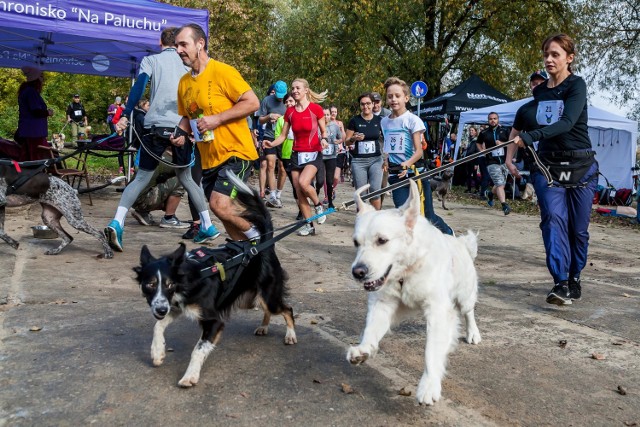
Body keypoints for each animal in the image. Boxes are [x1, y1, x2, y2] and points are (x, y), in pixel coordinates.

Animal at [350, 180, 480, 404]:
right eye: (356, 242)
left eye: (382, 240)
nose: (358, 272)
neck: (407, 270)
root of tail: (462, 244)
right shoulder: (382, 303)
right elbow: (371, 330)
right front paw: (364, 349)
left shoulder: (437, 310)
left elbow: (431, 351)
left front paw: (429, 385)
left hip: (465, 296)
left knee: (468, 312)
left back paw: (473, 333)